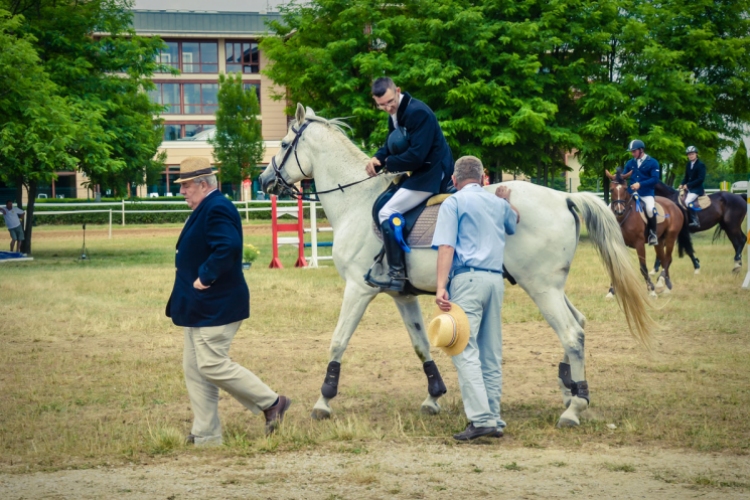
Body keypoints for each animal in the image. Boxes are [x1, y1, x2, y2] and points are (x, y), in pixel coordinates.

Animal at [262, 104, 656, 426]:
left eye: (283, 144)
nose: (266, 181)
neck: (357, 201)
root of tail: (564, 197)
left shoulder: (358, 289)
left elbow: (337, 341)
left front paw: (323, 402)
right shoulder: (402, 295)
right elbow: (421, 343)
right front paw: (433, 396)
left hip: (541, 286)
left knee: (572, 333)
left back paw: (574, 408)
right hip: (551, 286)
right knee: (580, 324)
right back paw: (570, 390)